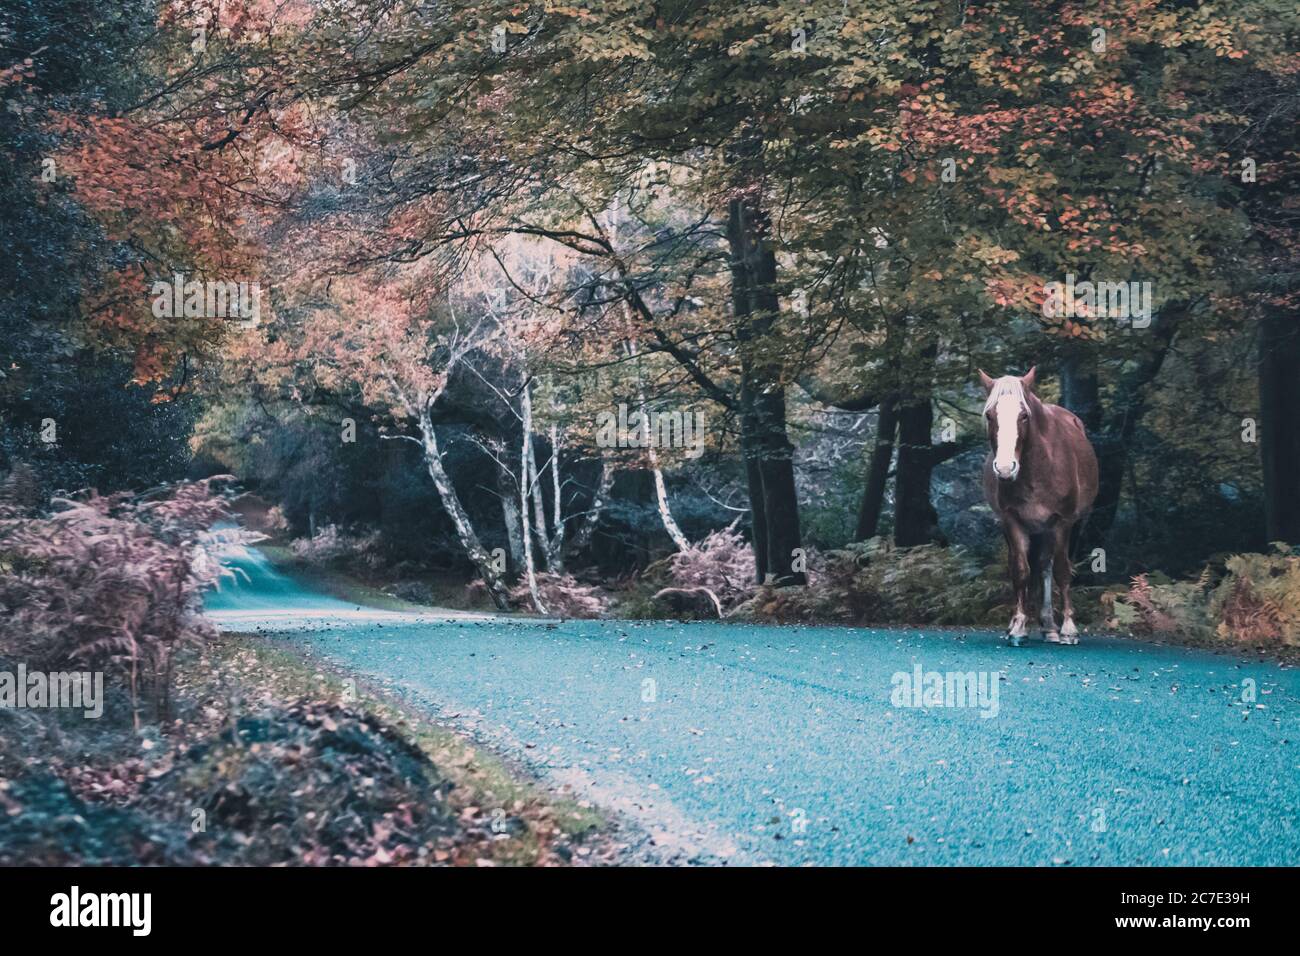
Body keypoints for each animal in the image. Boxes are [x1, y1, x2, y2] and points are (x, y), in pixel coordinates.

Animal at [979, 367, 1099, 646]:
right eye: (990, 414)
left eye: (1024, 416)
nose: (1004, 469)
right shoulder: (1012, 520)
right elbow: (1021, 570)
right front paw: (1018, 627)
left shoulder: (1063, 521)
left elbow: (1063, 570)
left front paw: (1068, 629)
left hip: (1061, 526)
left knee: (1047, 566)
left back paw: (1051, 627)